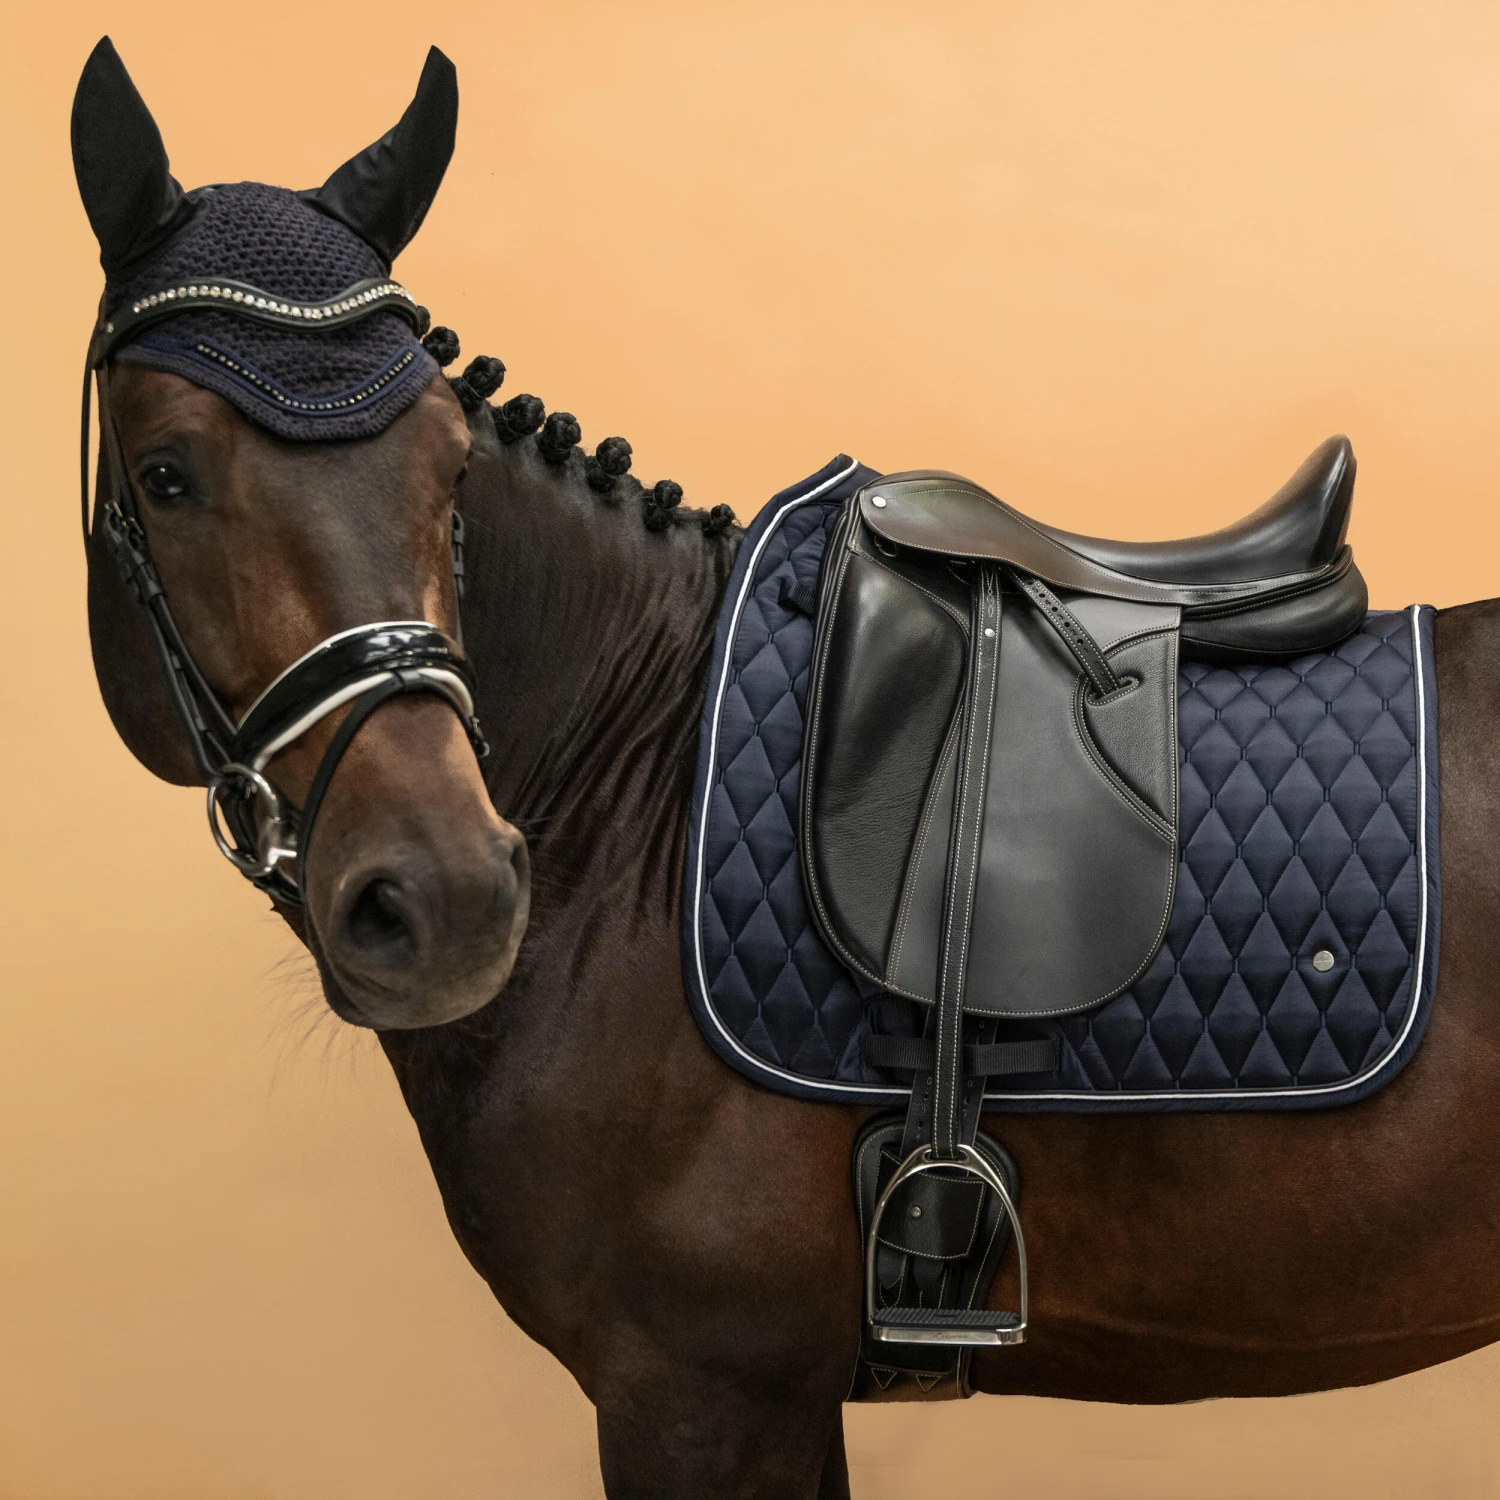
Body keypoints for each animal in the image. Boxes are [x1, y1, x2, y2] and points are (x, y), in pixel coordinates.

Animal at [74, 37, 1500, 1500]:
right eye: (166, 474)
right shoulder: (770, 1395)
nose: (450, 898)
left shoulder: (702, 1391)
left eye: (450, 466)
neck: (630, 802)